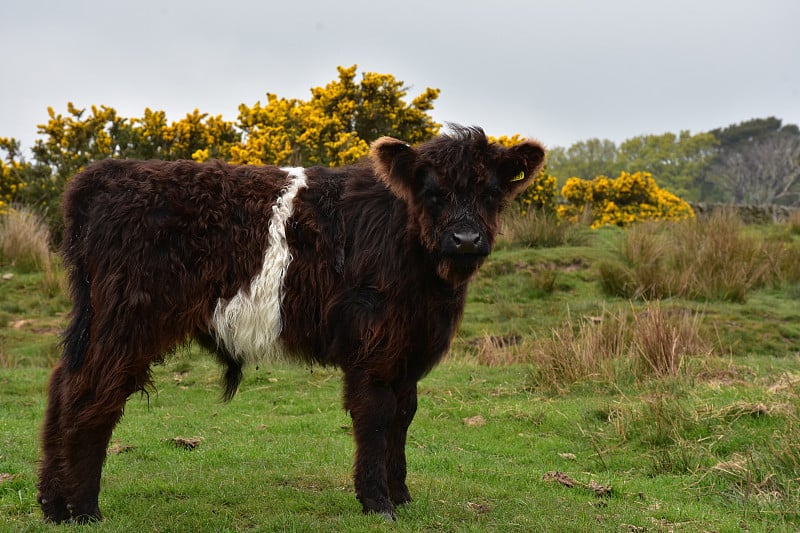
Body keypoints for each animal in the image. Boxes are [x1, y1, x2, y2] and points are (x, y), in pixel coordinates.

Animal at [40, 123, 548, 520]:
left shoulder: (409, 347)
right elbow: (376, 415)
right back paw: (84, 509)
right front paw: (378, 503)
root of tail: (105, 174)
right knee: (92, 396)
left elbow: (404, 415)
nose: (466, 239)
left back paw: (52, 504)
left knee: (63, 386)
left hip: (97, 320)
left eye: (491, 192)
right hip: (126, 320)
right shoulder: (373, 345)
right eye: (433, 192)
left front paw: (402, 495)